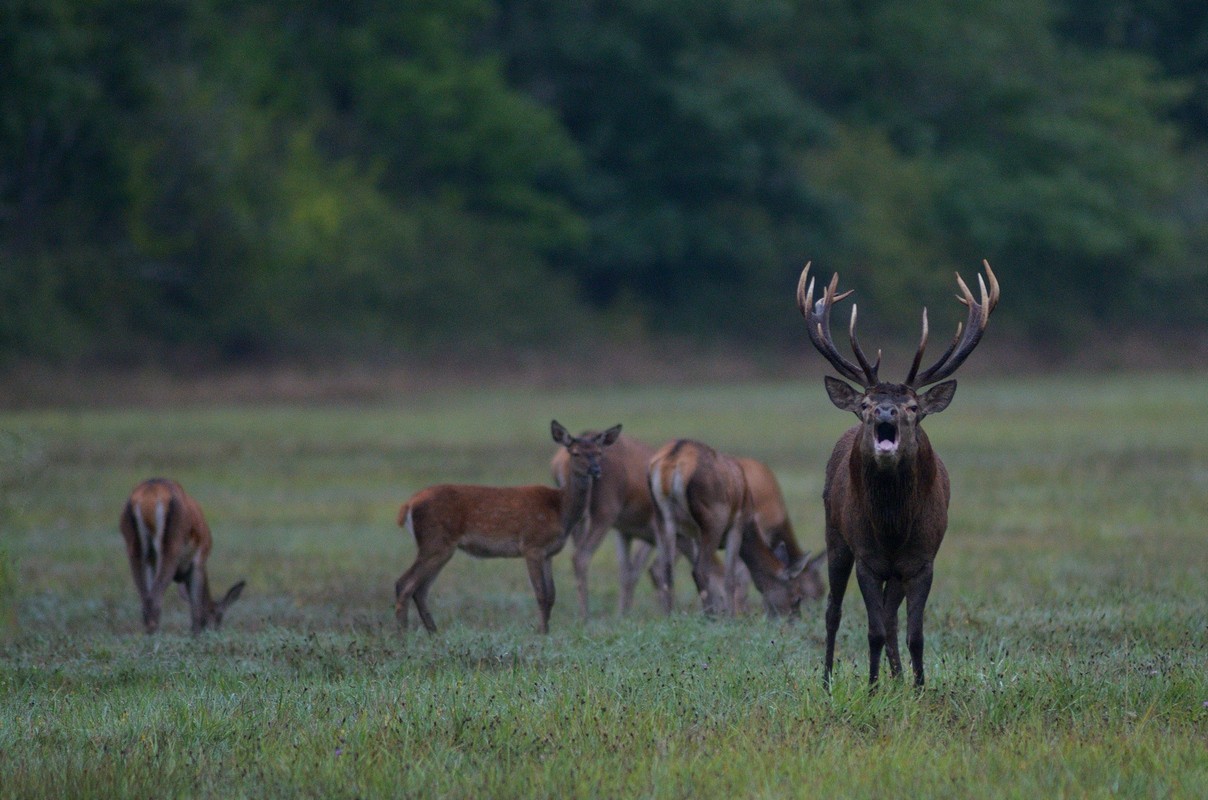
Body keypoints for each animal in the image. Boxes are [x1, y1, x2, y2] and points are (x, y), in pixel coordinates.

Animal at [120, 478, 247, 638]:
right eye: (219, 616)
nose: (216, 632)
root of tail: (149, 497)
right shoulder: (199, 560)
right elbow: (196, 608)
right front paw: (196, 635)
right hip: (172, 544)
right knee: (154, 599)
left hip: (133, 546)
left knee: (146, 599)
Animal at [396, 422, 623, 638]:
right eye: (575, 453)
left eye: (599, 452)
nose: (596, 470)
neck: (560, 510)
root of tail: (409, 504)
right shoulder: (532, 546)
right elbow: (541, 594)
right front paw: (541, 632)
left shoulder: (548, 553)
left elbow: (552, 595)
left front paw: (546, 630)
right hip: (435, 541)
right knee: (404, 584)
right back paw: (402, 636)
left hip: (440, 547)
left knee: (420, 590)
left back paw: (433, 633)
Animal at [652, 439, 821, 618]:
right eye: (797, 597)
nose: (793, 620)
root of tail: (674, 459)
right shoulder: (736, 526)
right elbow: (732, 578)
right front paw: (732, 616)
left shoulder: (696, 535)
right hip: (713, 520)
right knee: (699, 570)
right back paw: (710, 616)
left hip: (662, 518)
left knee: (666, 570)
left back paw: (669, 615)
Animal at [802, 258, 1000, 691]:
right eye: (865, 403)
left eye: (912, 406)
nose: (884, 411)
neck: (893, 529)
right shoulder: (866, 557)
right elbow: (873, 630)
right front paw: (873, 689)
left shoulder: (923, 560)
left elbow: (915, 634)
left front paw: (919, 687)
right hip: (834, 534)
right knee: (833, 611)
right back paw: (827, 680)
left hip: (895, 570)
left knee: (891, 616)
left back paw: (896, 677)